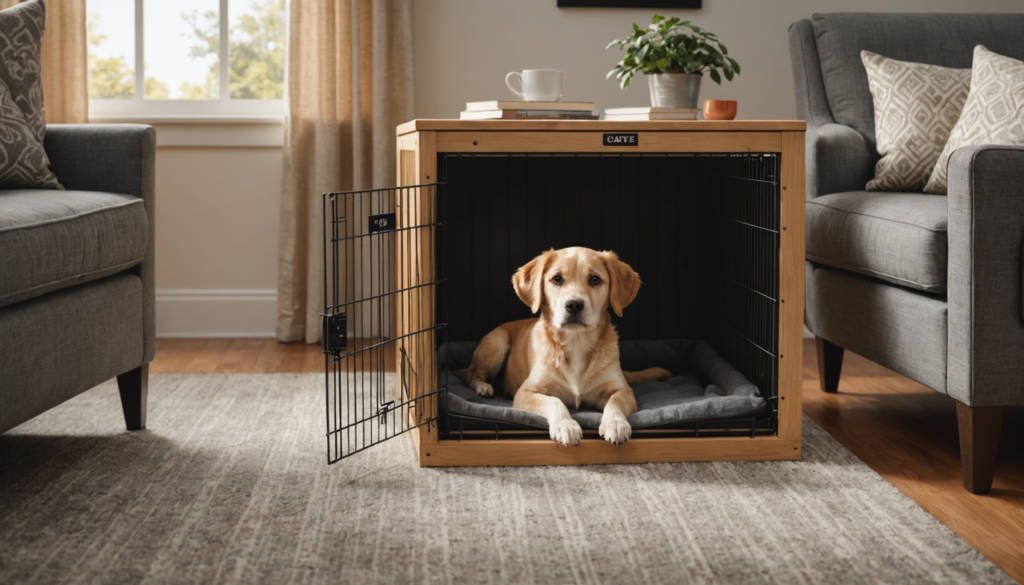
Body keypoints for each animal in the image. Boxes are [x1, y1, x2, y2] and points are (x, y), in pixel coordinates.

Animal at [462, 247, 671, 448]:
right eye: (557, 279)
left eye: (595, 279)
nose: (574, 305)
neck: (576, 344)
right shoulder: (526, 393)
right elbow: (555, 401)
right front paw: (566, 426)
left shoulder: (623, 390)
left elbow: (615, 401)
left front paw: (616, 423)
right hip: (498, 343)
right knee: (471, 375)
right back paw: (484, 387)